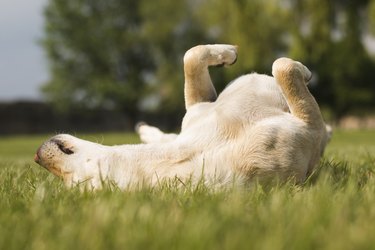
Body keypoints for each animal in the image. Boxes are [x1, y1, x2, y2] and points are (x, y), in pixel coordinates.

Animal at [34, 45, 328, 189]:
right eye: (74, 182)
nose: (37, 156)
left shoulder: (199, 107)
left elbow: (191, 57)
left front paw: (224, 53)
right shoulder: (307, 129)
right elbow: (284, 68)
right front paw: (305, 70)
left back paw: (146, 129)